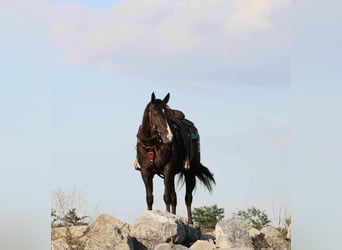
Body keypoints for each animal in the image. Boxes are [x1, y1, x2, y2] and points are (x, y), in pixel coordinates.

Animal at [135, 92, 215, 225]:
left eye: (167, 114)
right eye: (155, 113)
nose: (169, 137)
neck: (151, 145)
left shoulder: (167, 169)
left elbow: (166, 196)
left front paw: (167, 217)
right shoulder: (146, 172)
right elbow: (150, 197)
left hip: (189, 173)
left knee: (188, 198)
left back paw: (189, 222)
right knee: (175, 197)